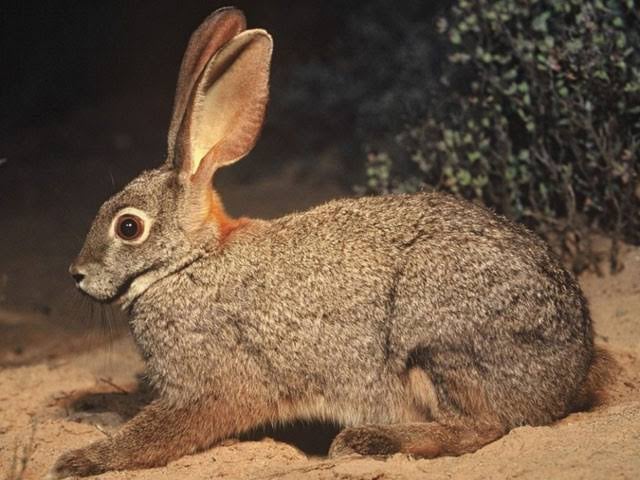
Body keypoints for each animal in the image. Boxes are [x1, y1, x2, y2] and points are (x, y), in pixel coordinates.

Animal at [49, 6, 612, 479]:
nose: (77, 274)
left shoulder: (208, 383)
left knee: (483, 426)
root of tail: (571, 370)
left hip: (437, 341)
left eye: (128, 227)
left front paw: (80, 459)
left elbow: (153, 435)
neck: (189, 262)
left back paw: (366, 442)